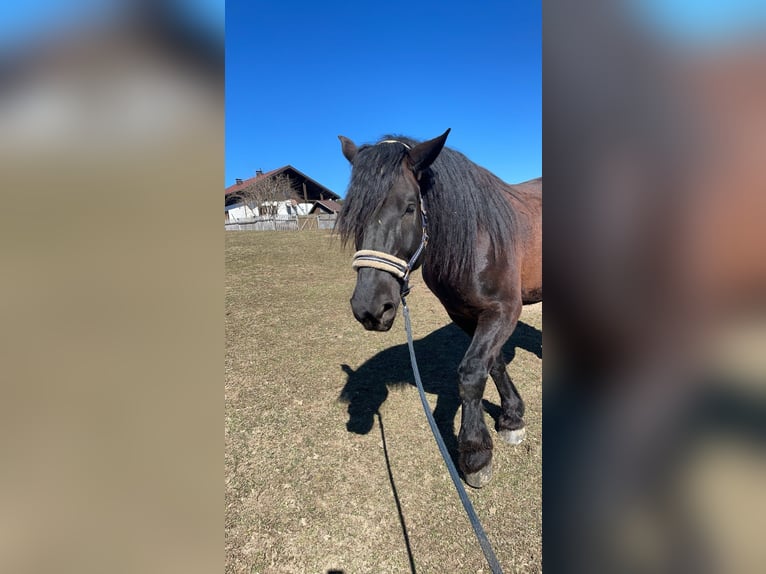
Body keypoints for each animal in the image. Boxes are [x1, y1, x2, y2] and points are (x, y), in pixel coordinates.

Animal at [336, 129, 542, 487]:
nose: (370, 308)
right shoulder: (465, 315)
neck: (478, 238)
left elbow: (471, 373)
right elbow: (494, 364)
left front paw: (475, 453)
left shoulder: (504, 311)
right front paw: (512, 417)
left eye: (409, 208)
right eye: (354, 213)